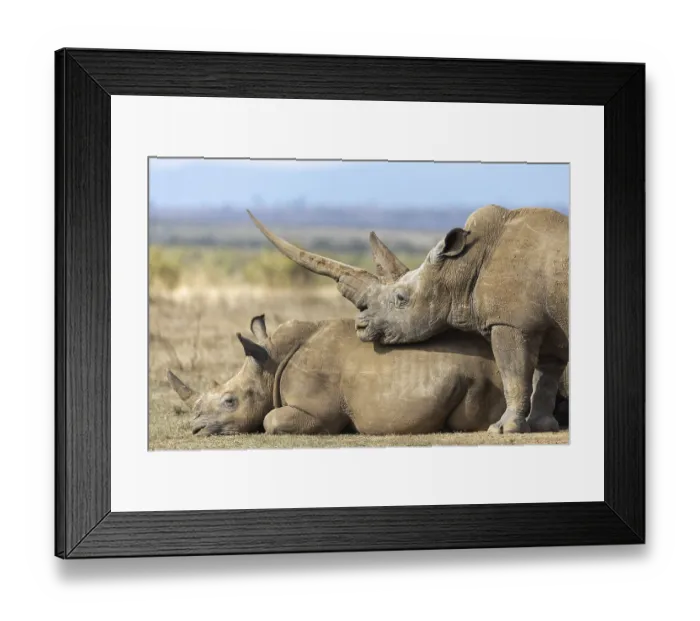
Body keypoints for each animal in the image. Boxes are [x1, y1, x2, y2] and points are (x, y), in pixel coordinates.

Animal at [166, 315, 512, 436]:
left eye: (230, 401)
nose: (195, 429)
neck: (271, 364)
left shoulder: (321, 413)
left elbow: (269, 420)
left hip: (485, 376)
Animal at [248, 204, 569, 436]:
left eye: (401, 298)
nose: (360, 326)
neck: (461, 268)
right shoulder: (546, 323)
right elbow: (546, 373)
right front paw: (541, 426)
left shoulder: (510, 322)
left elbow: (514, 372)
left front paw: (503, 429)